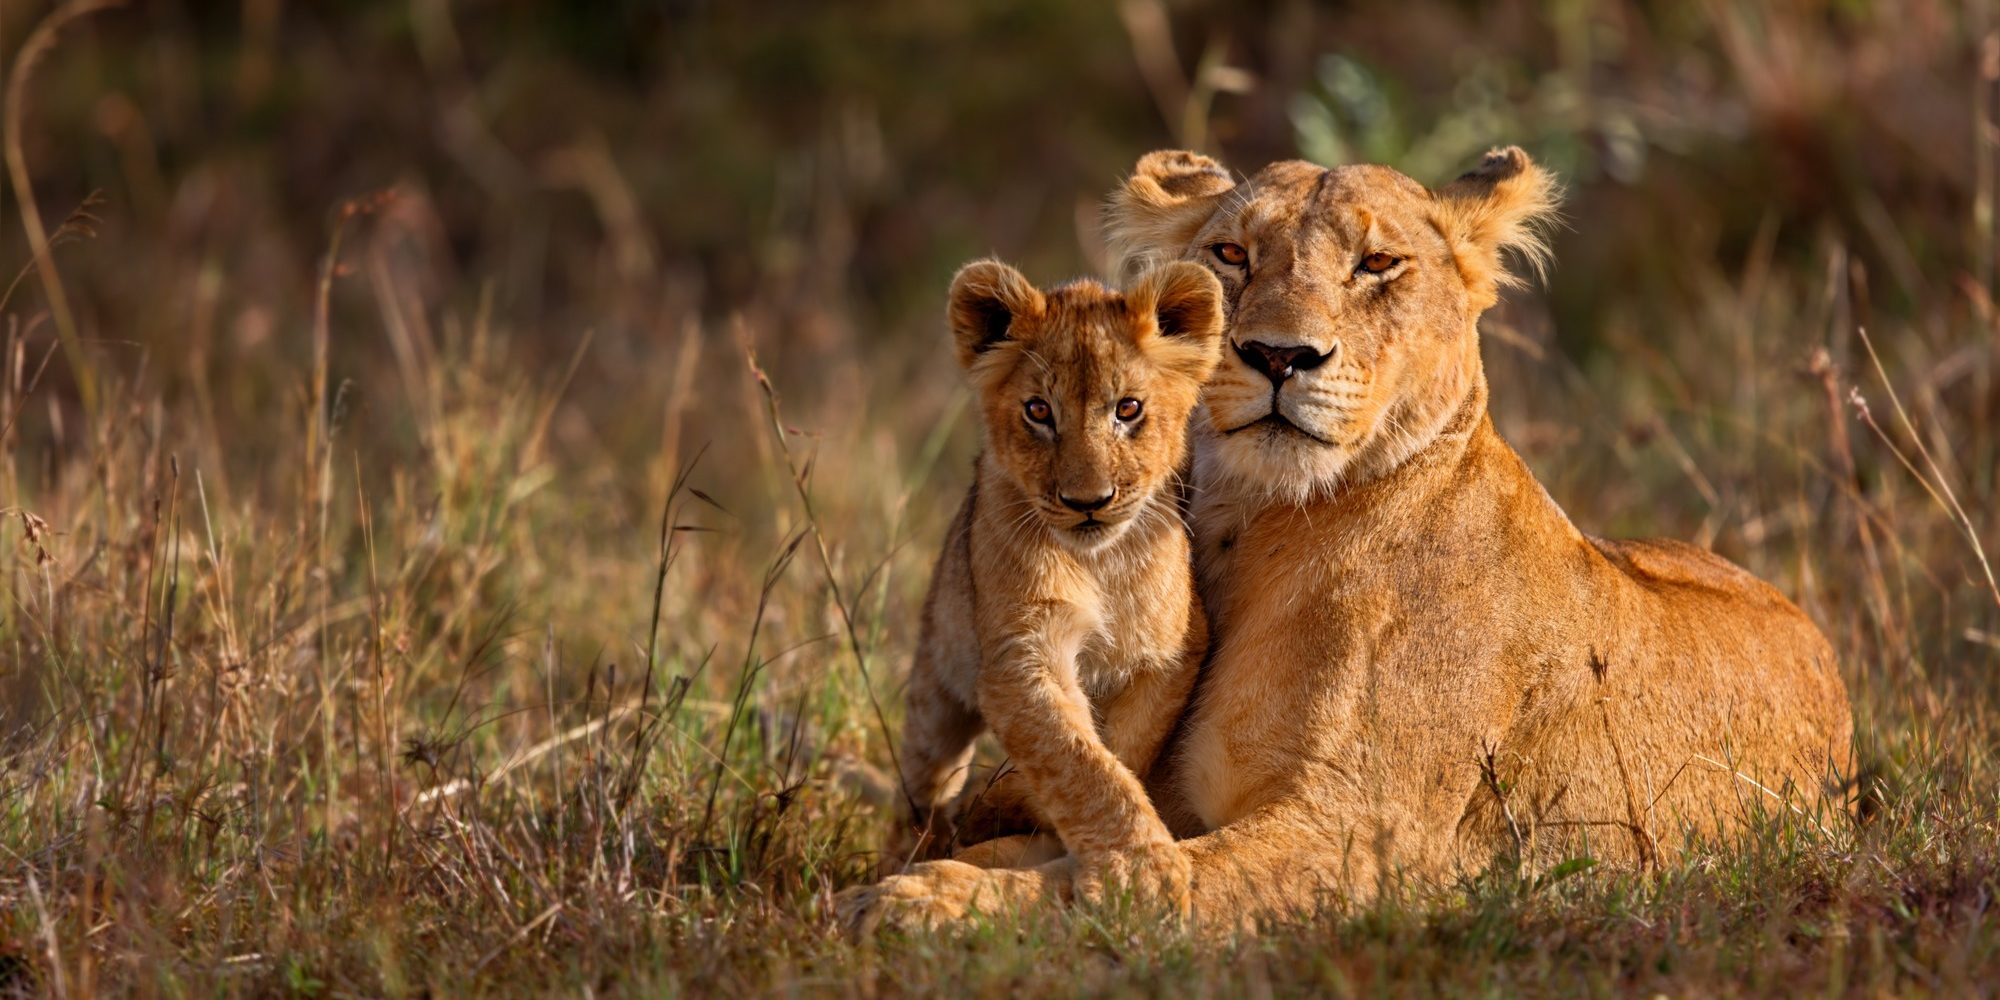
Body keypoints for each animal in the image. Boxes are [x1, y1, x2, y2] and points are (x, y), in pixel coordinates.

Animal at [859, 258, 1227, 916]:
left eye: (1128, 408)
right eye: (1037, 411)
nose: (1088, 502)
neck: (1100, 563)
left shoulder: (1170, 653)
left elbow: (1119, 750)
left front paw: (1024, 811)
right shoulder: (1020, 654)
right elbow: (1076, 758)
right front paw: (1142, 871)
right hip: (936, 685)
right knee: (923, 780)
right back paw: (911, 845)